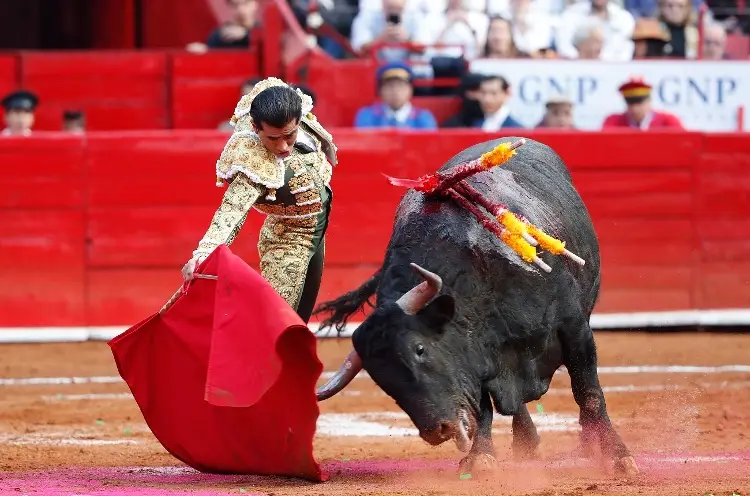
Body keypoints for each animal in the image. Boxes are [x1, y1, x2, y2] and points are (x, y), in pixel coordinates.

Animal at [312, 137, 640, 476]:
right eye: (380, 378)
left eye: (420, 349)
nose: (437, 431)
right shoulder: (477, 351)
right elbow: (483, 404)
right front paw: (481, 457)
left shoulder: (575, 328)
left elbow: (588, 392)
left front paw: (616, 456)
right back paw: (526, 444)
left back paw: (585, 447)